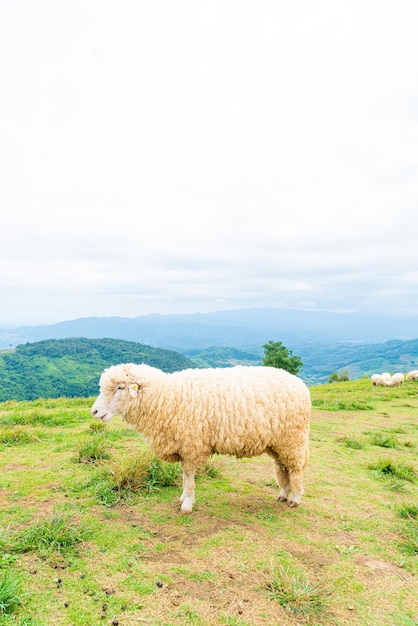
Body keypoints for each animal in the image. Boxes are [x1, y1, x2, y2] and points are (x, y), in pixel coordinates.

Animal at [91, 360, 310, 512]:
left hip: (293, 439)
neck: (165, 397)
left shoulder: (191, 445)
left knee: (296, 469)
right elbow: (183, 476)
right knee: (283, 468)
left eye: (120, 387)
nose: (94, 411)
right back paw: (283, 494)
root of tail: (298, 382)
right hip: (279, 443)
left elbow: (188, 477)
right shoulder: (183, 446)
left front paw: (186, 505)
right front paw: (182, 498)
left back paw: (295, 499)